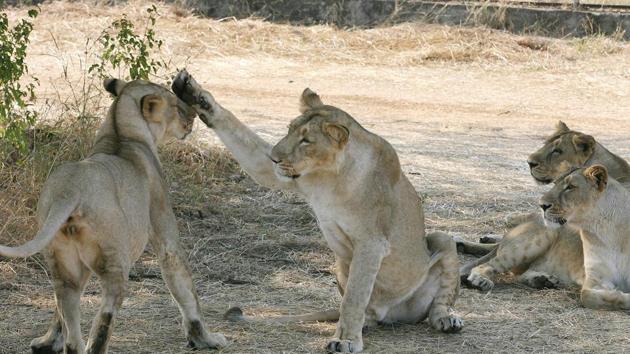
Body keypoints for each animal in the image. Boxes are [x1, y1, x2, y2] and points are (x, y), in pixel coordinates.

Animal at [0, 79, 227, 352]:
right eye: (175, 104)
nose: (192, 115)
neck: (121, 134)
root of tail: (70, 190)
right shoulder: (164, 229)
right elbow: (184, 287)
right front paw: (206, 339)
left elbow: (59, 316)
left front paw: (48, 341)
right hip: (115, 260)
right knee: (105, 315)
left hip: (63, 265)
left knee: (70, 320)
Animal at [173, 70, 464, 352]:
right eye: (289, 130)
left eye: (306, 140)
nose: (275, 158)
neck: (330, 178)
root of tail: (390, 314)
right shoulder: (282, 175)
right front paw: (195, 94)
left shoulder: (371, 242)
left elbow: (354, 297)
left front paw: (346, 340)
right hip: (341, 267)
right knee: (367, 310)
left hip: (441, 240)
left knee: (438, 300)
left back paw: (447, 319)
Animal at [540, 166, 630, 310]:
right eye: (555, 184)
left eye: (570, 187)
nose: (541, 205)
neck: (606, 230)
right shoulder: (595, 276)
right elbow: (587, 296)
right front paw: (618, 293)